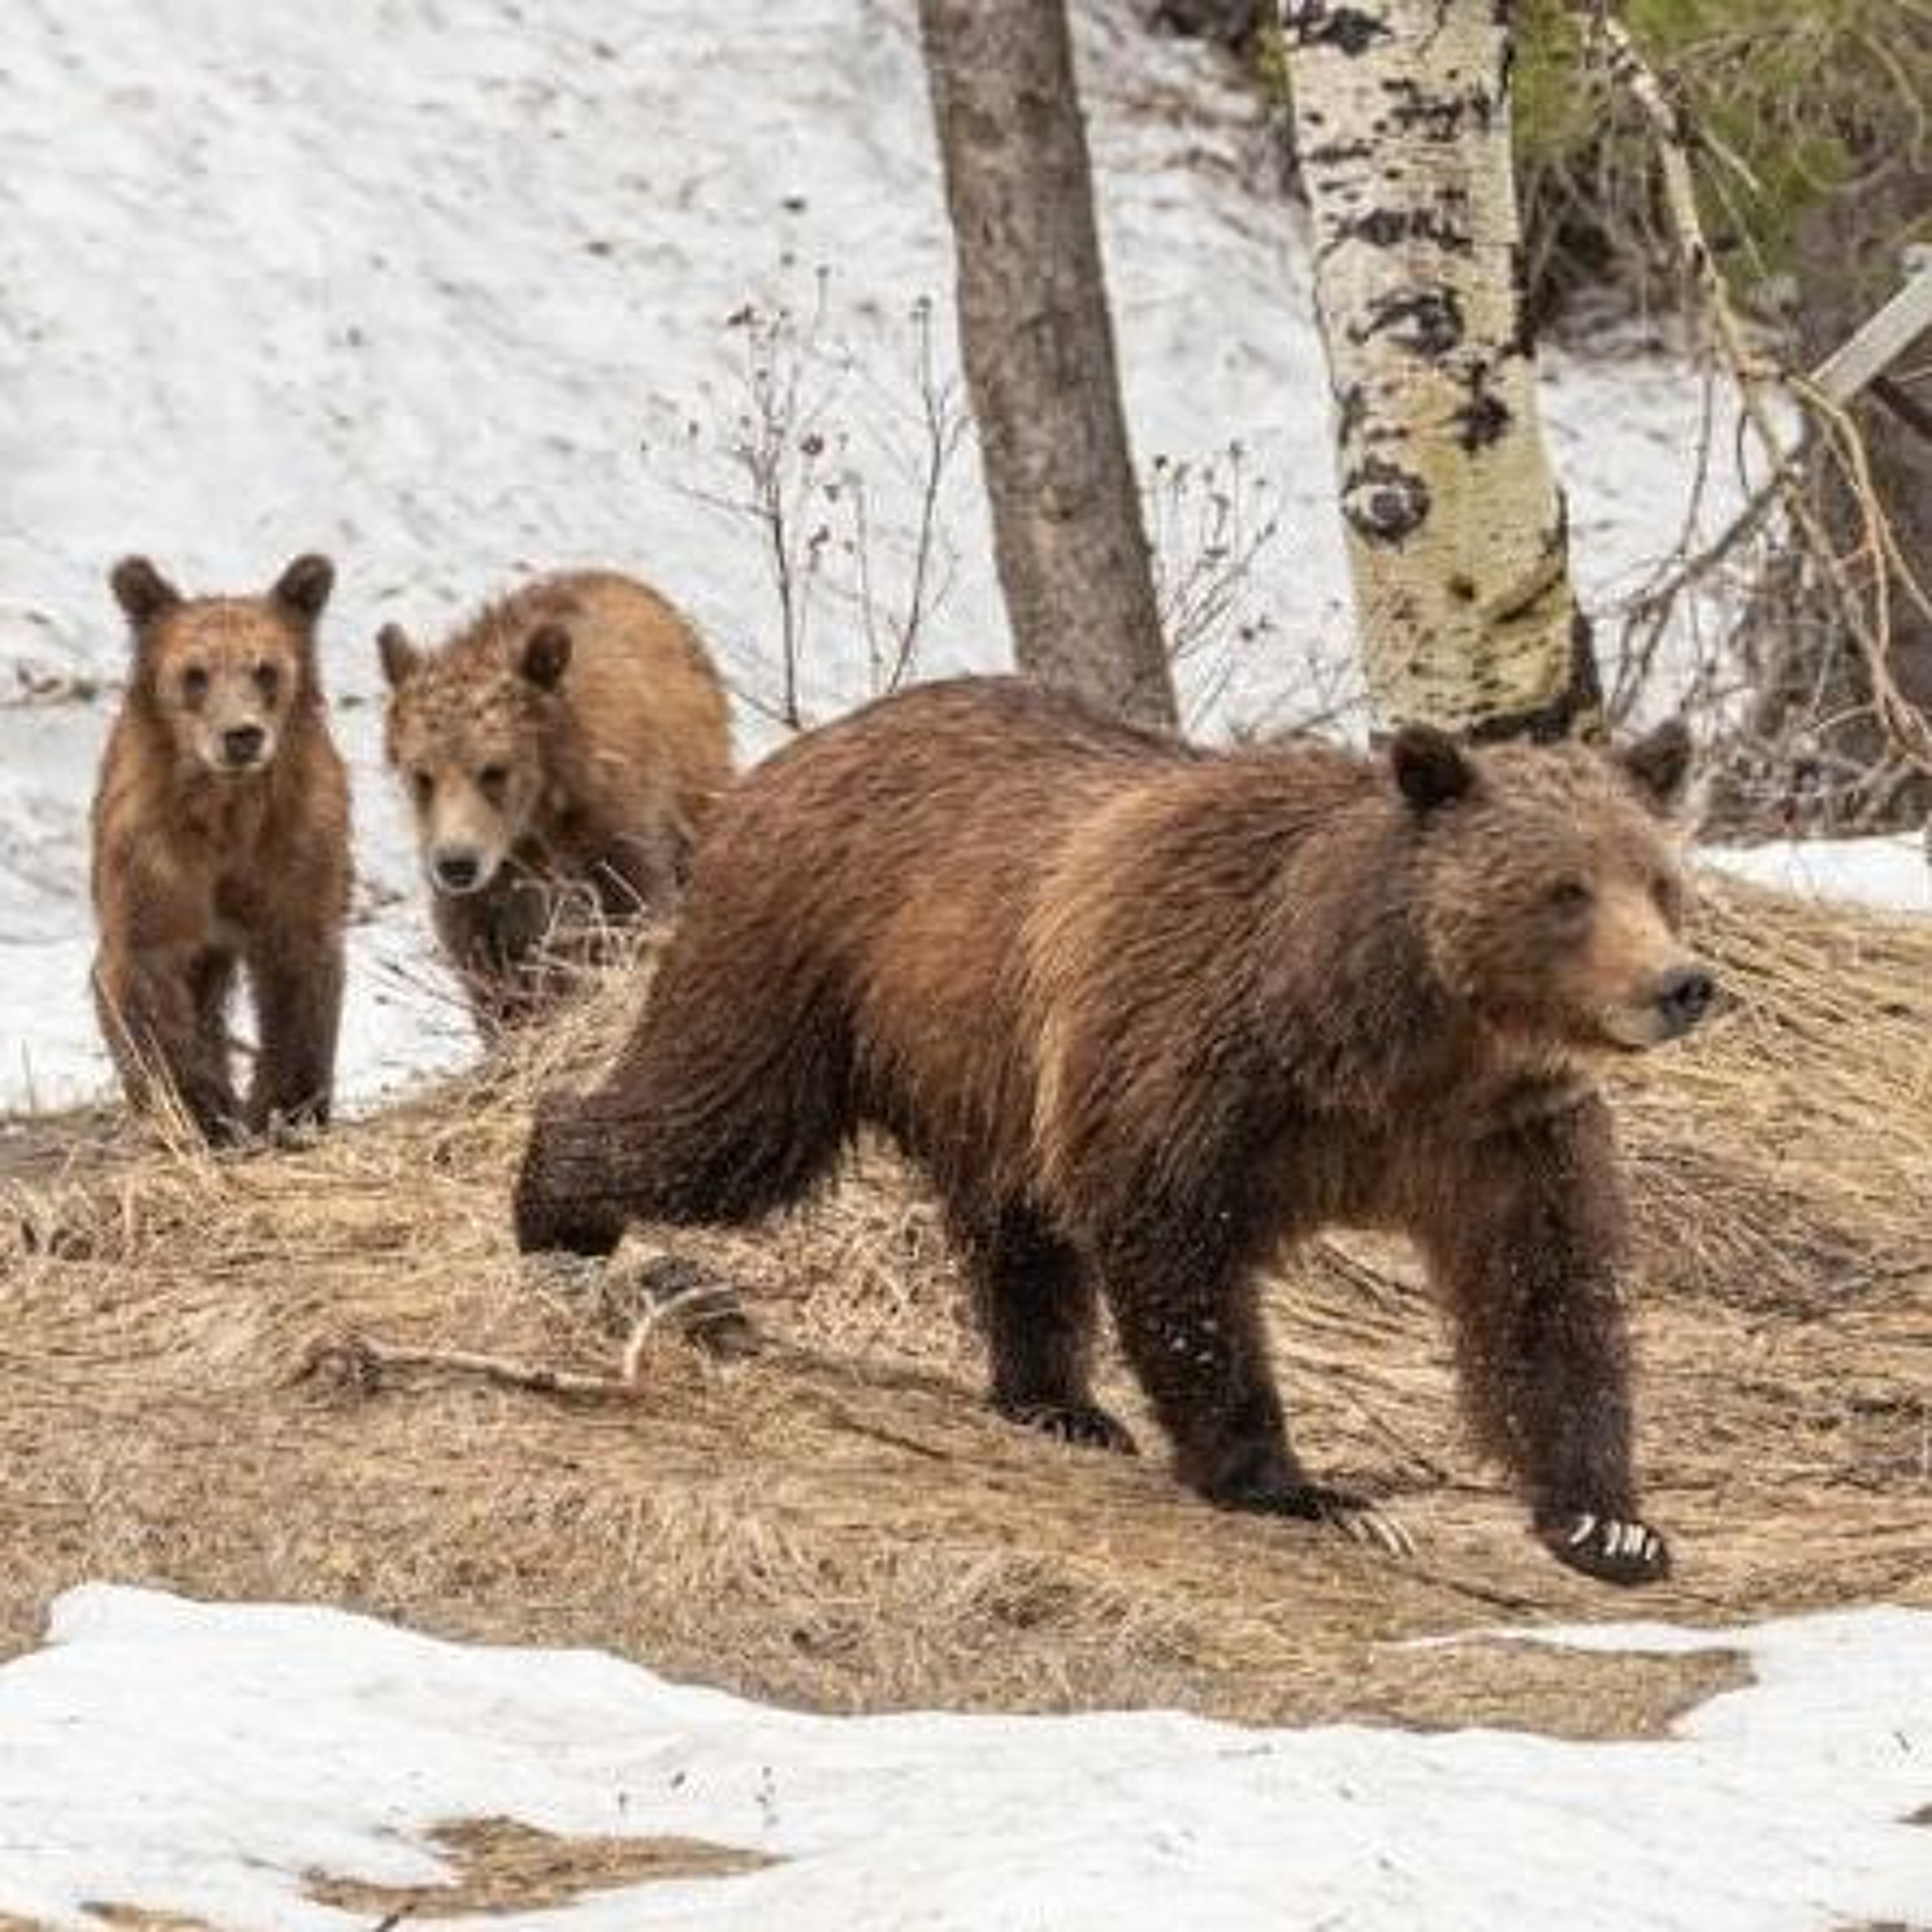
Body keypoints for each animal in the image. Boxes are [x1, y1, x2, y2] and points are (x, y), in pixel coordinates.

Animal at [91, 553, 351, 1144]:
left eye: (266, 669)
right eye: (195, 673)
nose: (242, 735)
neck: (228, 816)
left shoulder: (293, 855)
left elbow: (299, 973)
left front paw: (286, 1109)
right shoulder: (155, 864)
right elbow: (147, 978)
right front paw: (200, 1112)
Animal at [377, 570, 733, 1037]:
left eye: (494, 770)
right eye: (422, 774)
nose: (457, 865)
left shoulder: (612, 835)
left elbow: (635, 913)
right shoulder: (488, 896)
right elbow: (490, 970)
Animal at [513, 675, 1713, 1586]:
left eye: (1659, 880)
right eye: (1565, 891)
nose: (1680, 984)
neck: (1383, 1039)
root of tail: (784, 760)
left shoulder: (1503, 1134)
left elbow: (1544, 1298)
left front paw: (1609, 1522)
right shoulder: (1199, 1057)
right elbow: (1177, 1248)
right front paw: (1304, 1488)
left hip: (989, 1068)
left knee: (1017, 1230)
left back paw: (1058, 1402)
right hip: (805, 967)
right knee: (716, 1127)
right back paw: (556, 1212)